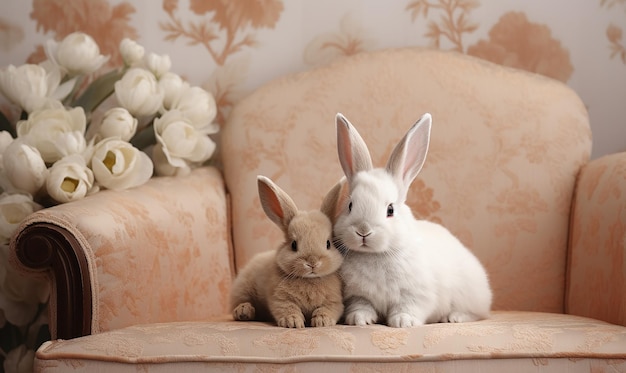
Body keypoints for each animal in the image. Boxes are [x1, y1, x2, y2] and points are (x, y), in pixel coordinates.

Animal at [330, 112, 490, 326]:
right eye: (350, 206)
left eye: (390, 210)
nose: (363, 230)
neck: (376, 255)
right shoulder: (356, 294)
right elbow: (361, 305)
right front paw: (359, 320)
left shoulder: (416, 295)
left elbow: (408, 307)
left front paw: (403, 322)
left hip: (469, 294)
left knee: (478, 313)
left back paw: (454, 317)